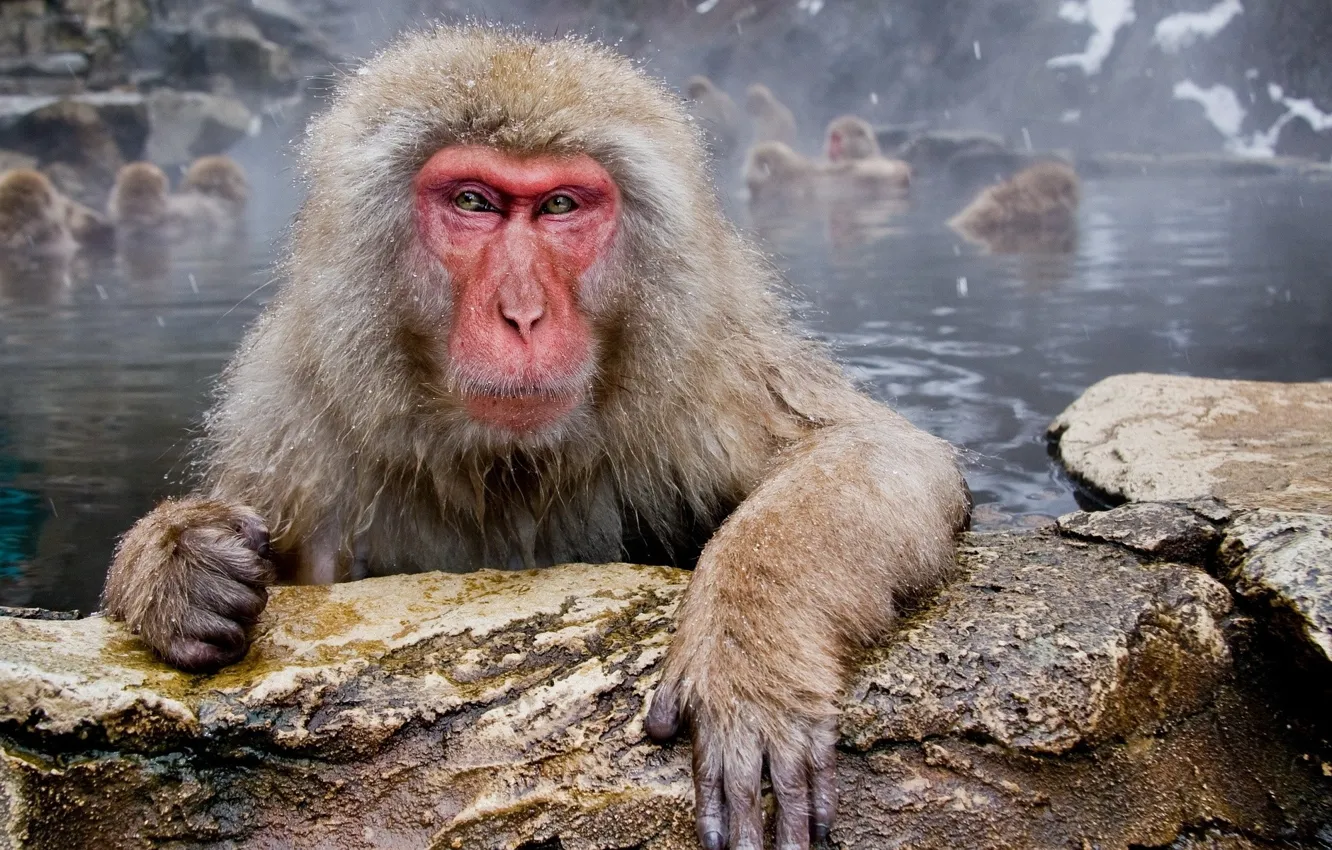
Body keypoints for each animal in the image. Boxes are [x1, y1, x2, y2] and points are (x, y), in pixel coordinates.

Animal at [101, 27, 969, 850]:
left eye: (558, 207)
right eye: (474, 201)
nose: (522, 313)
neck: (503, 464)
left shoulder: (702, 372)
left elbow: (874, 450)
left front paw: (746, 659)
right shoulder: (295, 427)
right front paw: (177, 564)